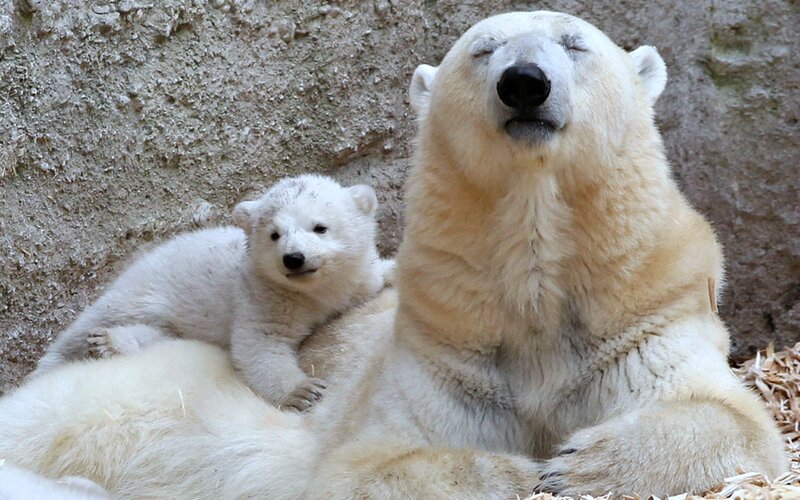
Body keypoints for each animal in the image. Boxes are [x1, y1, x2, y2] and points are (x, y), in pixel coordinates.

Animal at [33, 174, 394, 412]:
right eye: (274, 234)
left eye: (320, 227)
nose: (294, 258)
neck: (316, 293)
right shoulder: (264, 295)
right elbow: (260, 345)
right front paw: (304, 390)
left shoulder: (357, 281)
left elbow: (377, 277)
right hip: (143, 291)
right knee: (84, 330)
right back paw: (91, 347)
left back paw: (110, 344)